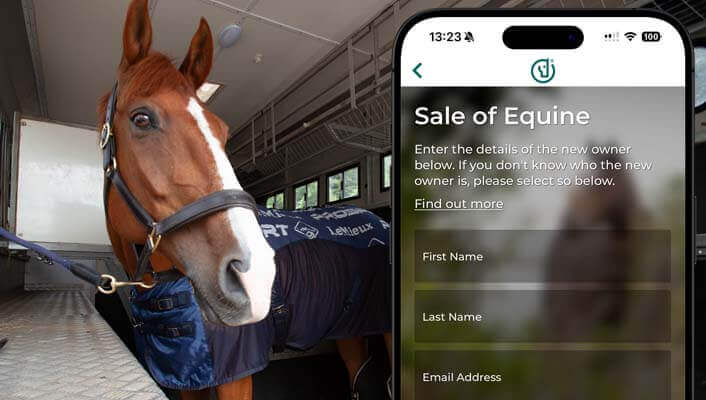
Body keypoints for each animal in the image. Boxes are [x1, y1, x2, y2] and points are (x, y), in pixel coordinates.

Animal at [99, 1, 391, 399]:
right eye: (141, 118)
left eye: (222, 132)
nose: (254, 276)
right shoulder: (189, 376)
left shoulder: (235, 373)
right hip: (349, 329)